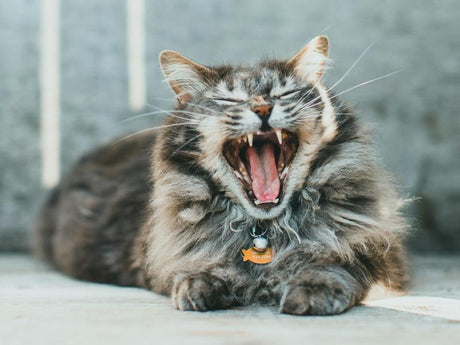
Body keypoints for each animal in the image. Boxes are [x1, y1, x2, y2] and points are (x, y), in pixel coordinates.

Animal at [36, 36, 410, 314]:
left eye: (283, 94)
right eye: (229, 100)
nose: (263, 108)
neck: (264, 231)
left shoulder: (382, 257)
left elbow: (338, 265)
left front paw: (312, 288)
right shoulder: (161, 258)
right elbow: (197, 269)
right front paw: (205, 284)